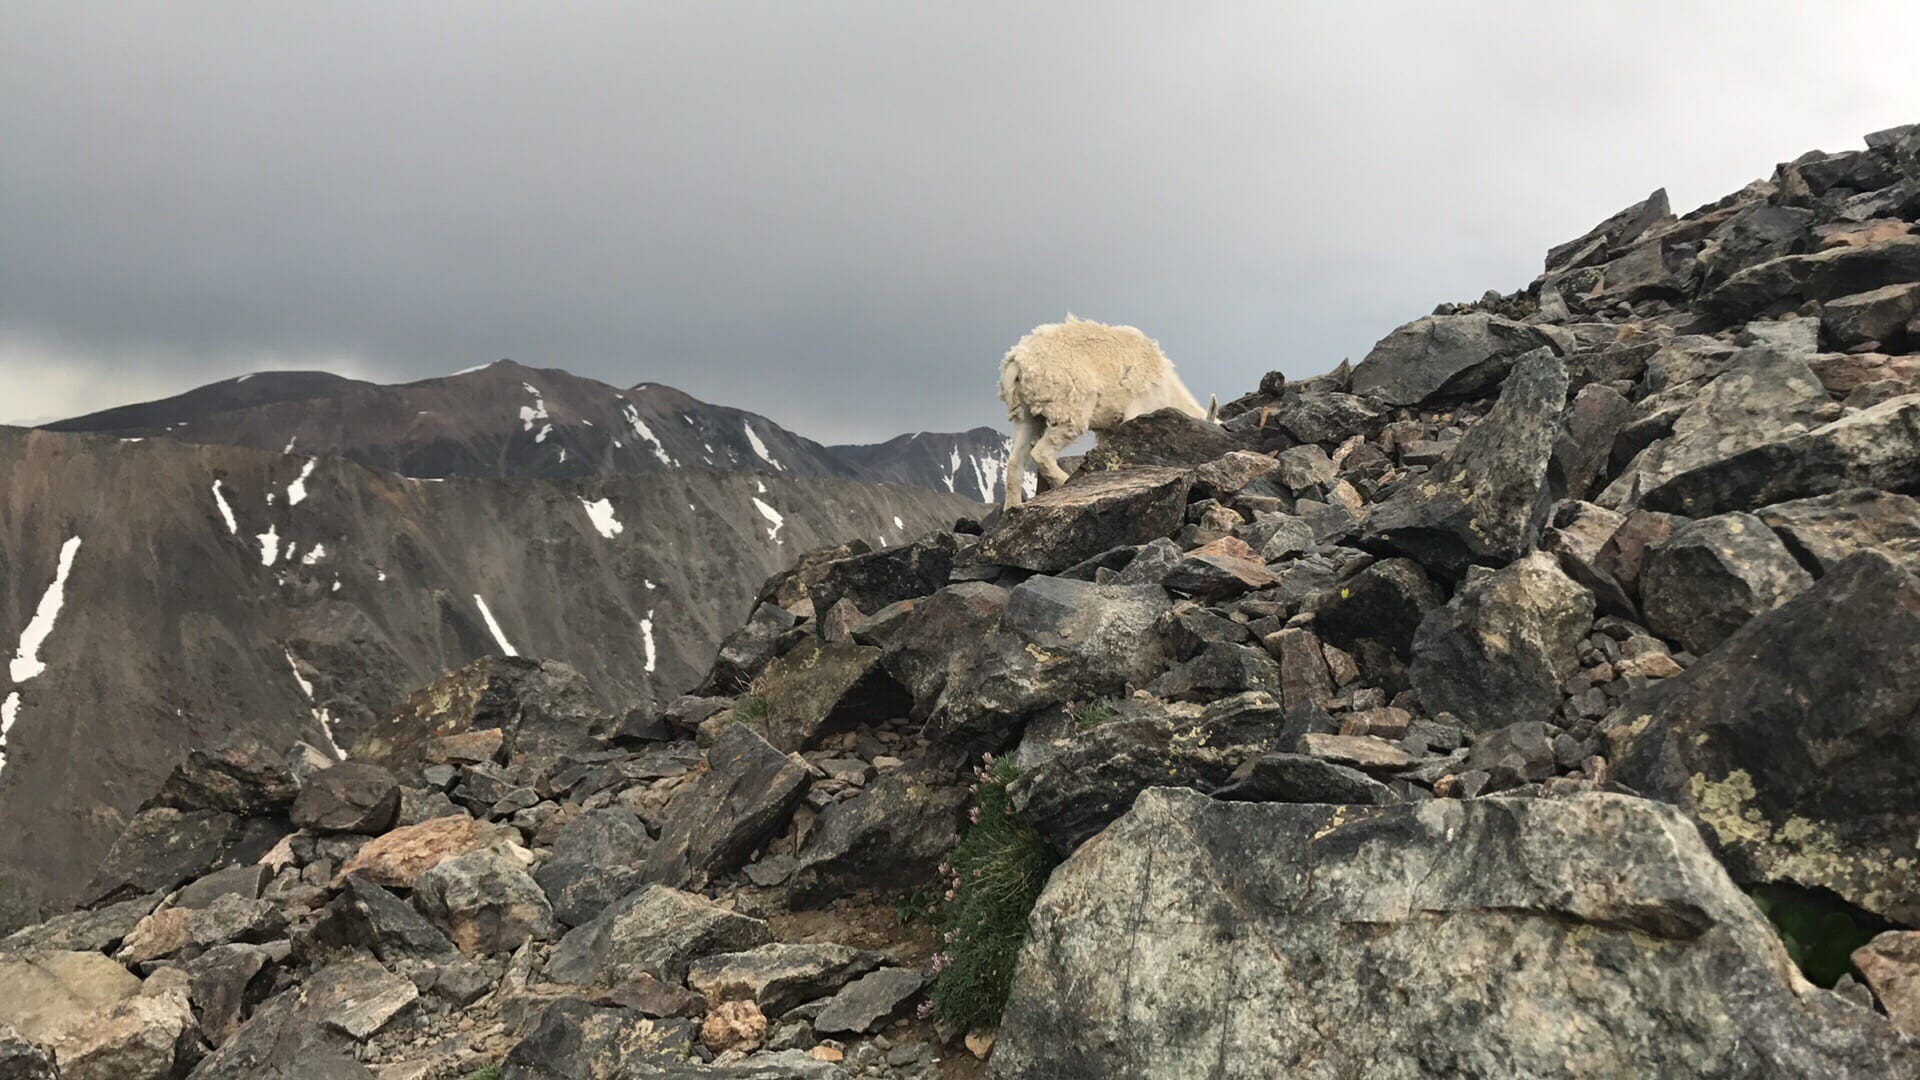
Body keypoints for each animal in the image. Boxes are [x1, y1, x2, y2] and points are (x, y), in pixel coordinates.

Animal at [1006, 313, 1213, 507]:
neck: (1167, 389)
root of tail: (1017, 363)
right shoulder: (1137, 410)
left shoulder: (1108, 429)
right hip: (1069, 410)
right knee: (1042, 453)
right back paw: (1065, 482)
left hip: (1028, 417)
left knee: (1015, 462)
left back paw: (1012, 508)